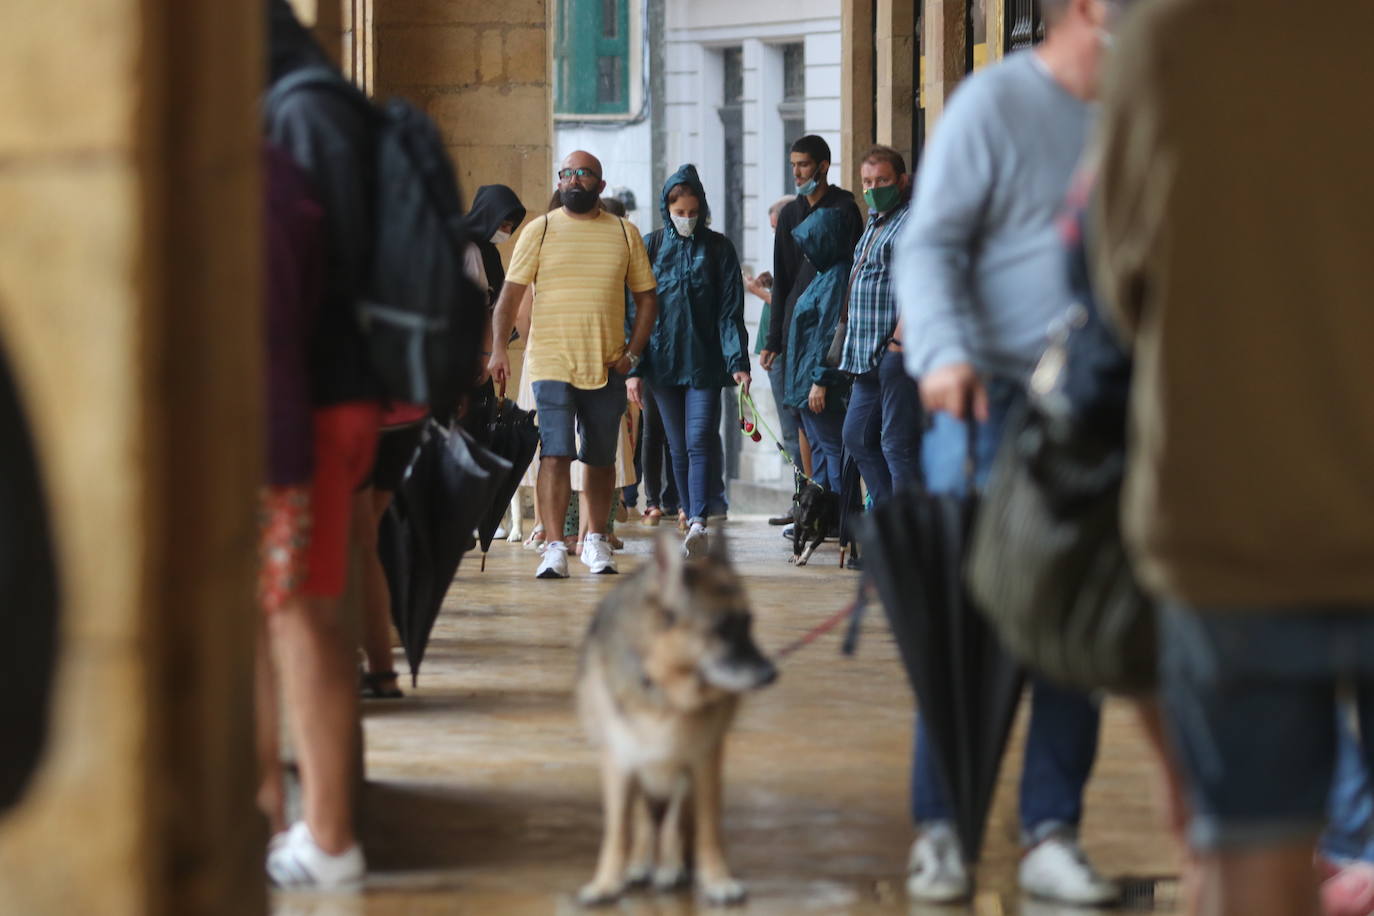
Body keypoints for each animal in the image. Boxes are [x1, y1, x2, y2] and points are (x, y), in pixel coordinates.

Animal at [574, 532, 780, 906]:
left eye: (748, 623)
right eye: (721, 629)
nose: (771, 674)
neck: (664, 689)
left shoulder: (702, 763)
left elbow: (708, 828)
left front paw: (716, 879)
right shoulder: (621, 763)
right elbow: (618, 830)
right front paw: (606, 882)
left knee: (673, 822)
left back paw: (670, 866)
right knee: (644, 819)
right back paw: (641, 862)